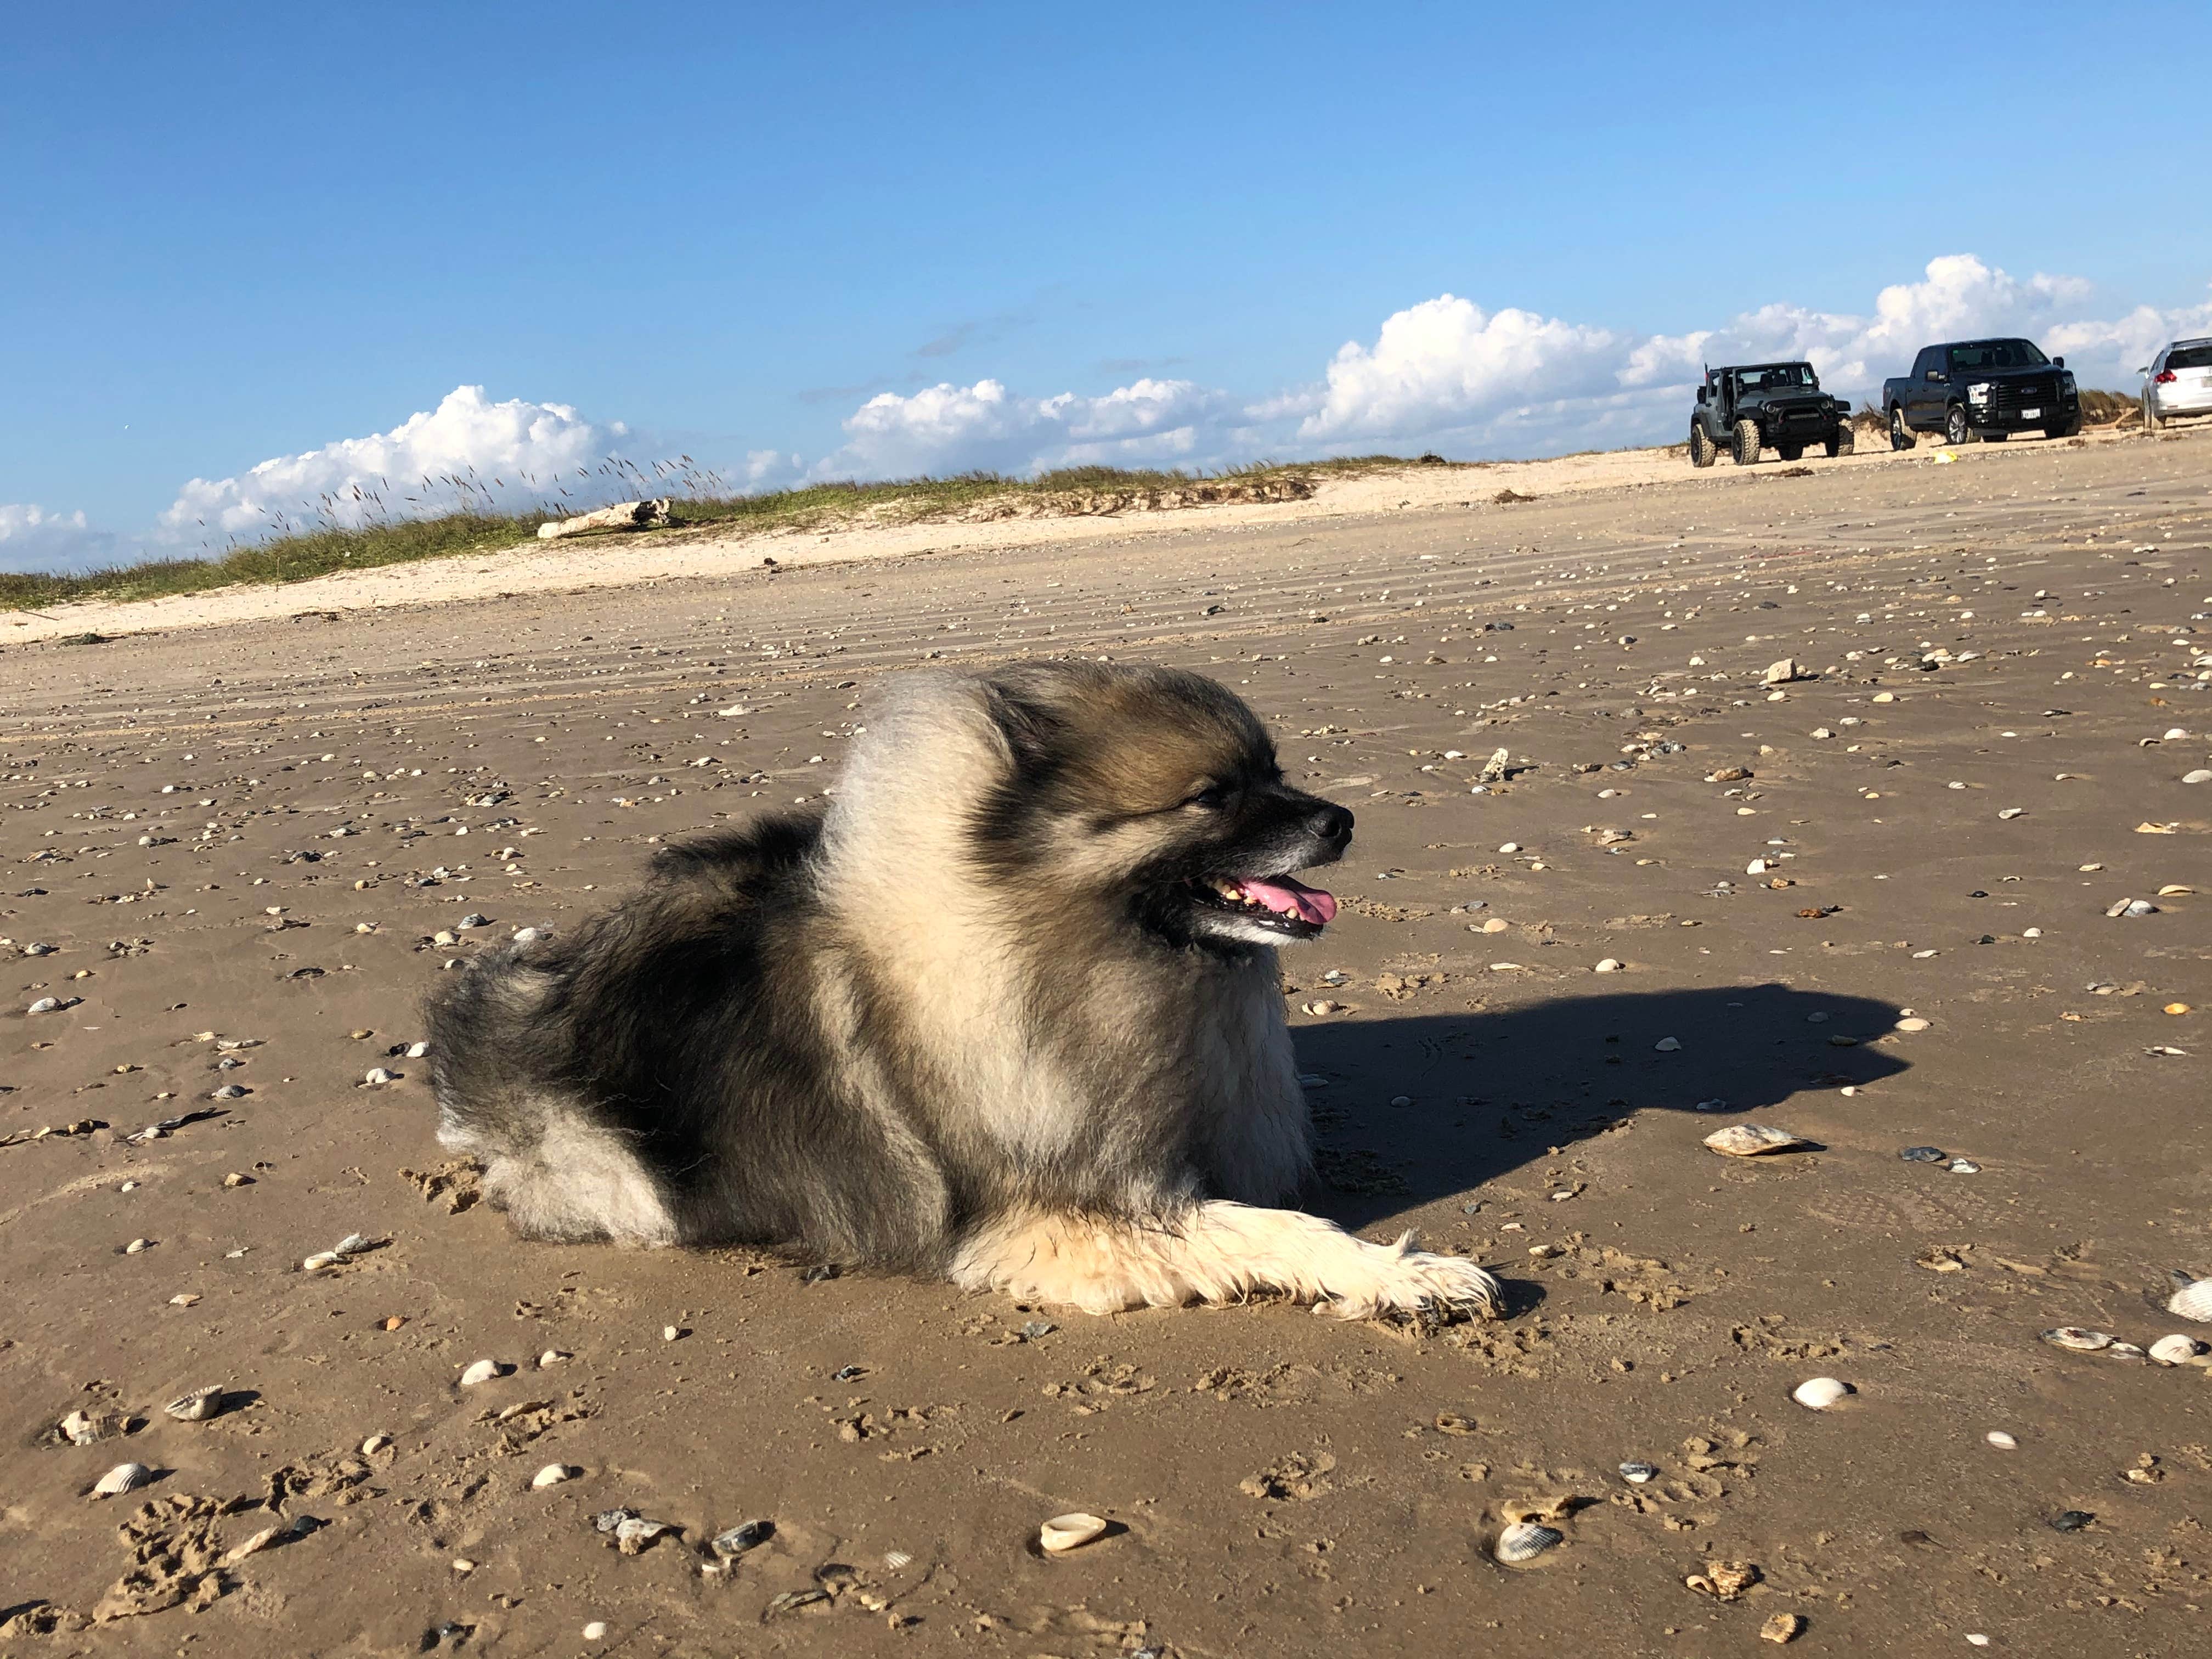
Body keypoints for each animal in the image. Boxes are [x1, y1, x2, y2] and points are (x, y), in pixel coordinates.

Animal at [422, 663, 1504, 1327]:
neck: (1066, 937)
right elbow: (1275, 1228)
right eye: (1212, 795)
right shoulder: (1061, 1214)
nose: (1343, 819)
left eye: (1276, 772)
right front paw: (1405, 1271)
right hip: (630, 1179)